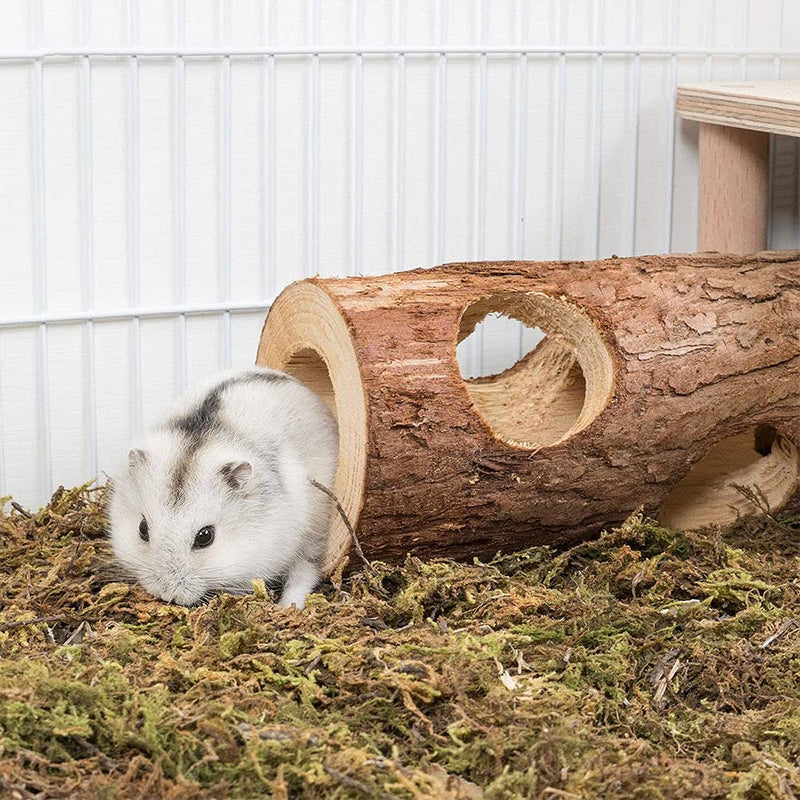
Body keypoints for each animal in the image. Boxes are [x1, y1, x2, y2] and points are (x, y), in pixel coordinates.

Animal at [107, 367, 338, 609]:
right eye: (142, 528)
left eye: (205, 537)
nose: (167, 594)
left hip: (314, 530)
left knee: (305, 572)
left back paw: (287, 606)